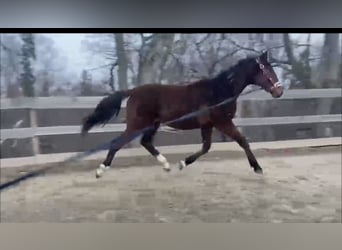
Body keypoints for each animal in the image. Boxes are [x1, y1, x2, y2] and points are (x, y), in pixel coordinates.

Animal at [81, 51, 282, 178]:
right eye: (266, 69)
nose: (279, 92)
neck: (219, 91)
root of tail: (133, 91)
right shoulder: (222, 122)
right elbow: (242, 141)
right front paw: (257, 168)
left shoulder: (208, 125)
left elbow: (206, 147)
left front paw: (182, 163)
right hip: (137, 125)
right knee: (117, 143)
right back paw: (100, 171)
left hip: (152, 125)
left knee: (146, 142)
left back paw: (166, 165)